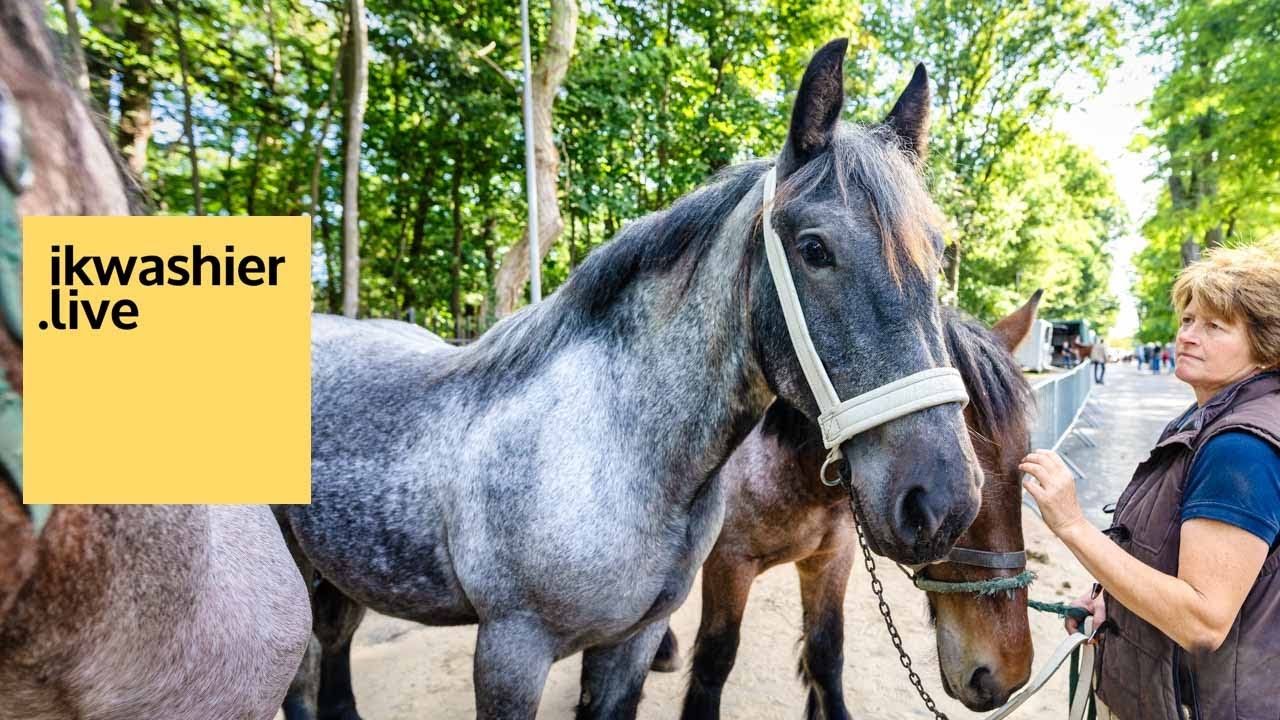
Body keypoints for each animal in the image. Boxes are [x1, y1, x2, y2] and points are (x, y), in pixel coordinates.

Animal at [282, 39, 985, 720]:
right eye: (815, 249)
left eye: (938, 253)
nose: (943, 502)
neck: (612, 449)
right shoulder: (511, 651)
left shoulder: (633, 642)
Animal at [651, 291, 1043, 719]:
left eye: (1024, 464)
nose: (1007, 674)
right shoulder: (729, 563)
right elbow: (714, 658)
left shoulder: (832, 557)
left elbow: (826, 652)